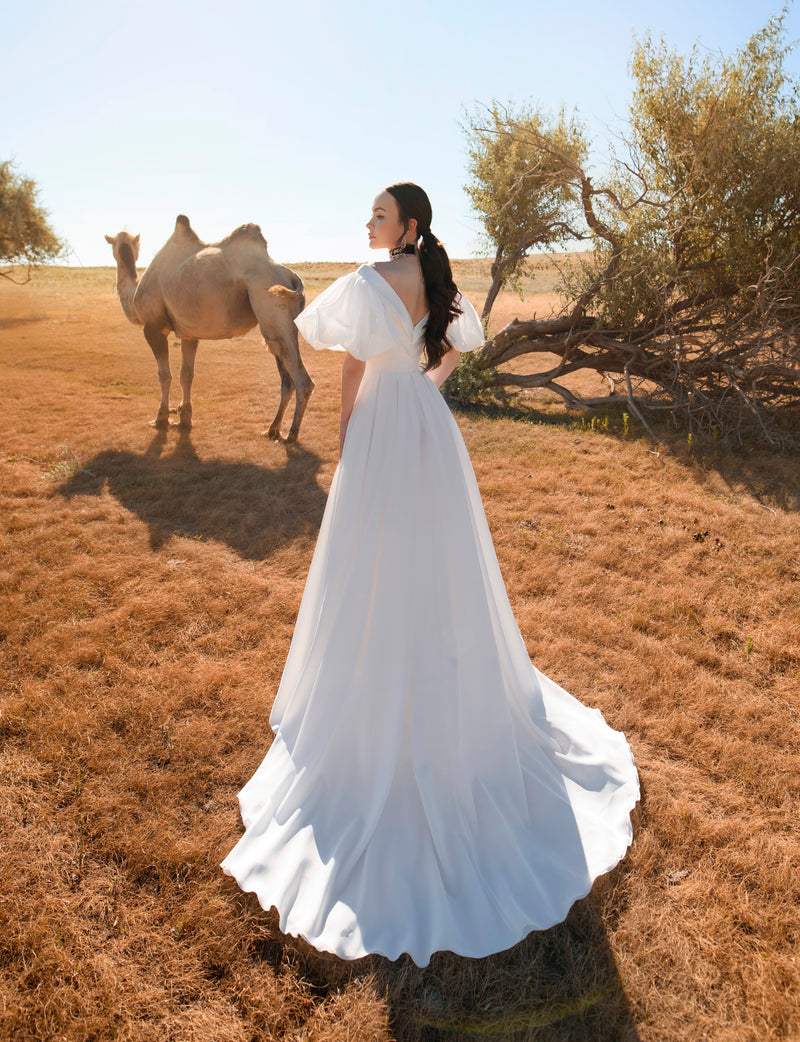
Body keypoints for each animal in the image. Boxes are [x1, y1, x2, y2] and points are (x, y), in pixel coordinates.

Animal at [107, 213, 314, 441]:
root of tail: (292, 278)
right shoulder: (189, 333)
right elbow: (186, 375)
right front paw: (184, 418)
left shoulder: (154, 328)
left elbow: (164, 375)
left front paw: (160, 418)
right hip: (280, 323)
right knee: (286, 379)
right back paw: (272, 429)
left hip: (271, 308)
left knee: (301, 380)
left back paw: (291, 435)